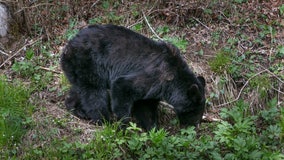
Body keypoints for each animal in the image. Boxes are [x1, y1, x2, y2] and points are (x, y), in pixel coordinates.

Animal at [61, 24, 205, 131]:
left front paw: (152, 128)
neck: (172, 82)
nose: (195, 125)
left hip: (78, 69)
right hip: (88, 62)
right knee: (94, 93)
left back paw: (76, 108)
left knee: (80, 89)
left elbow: (145, 106)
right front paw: (123, 125)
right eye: (195, 111)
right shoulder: (153, 77)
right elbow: (122, 88)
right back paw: (104, 120)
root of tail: (68, 46)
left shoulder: (154, 89)